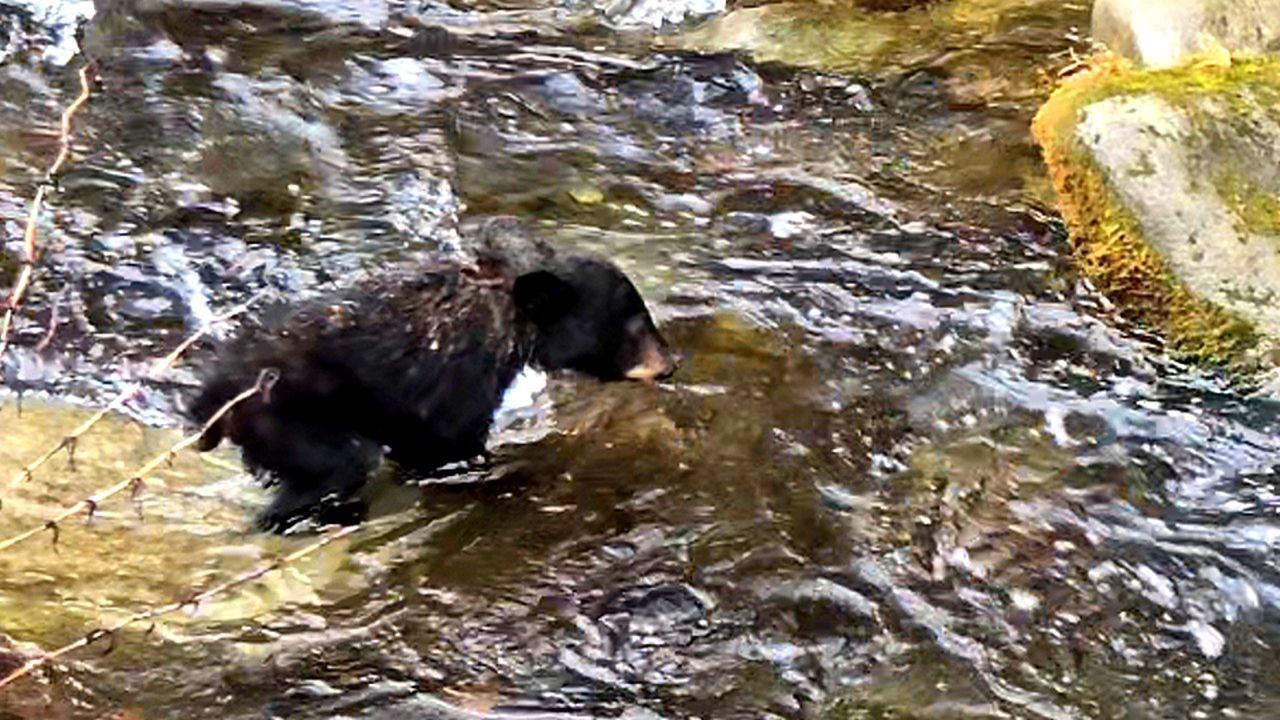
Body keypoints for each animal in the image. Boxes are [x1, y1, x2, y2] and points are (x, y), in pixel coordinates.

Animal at [186, 238, 680, 530]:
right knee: (337, 466)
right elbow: (446, 447)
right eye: (634, 324)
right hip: (287, 415)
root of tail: (210, 395)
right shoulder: (454, 390)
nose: (670, 364)